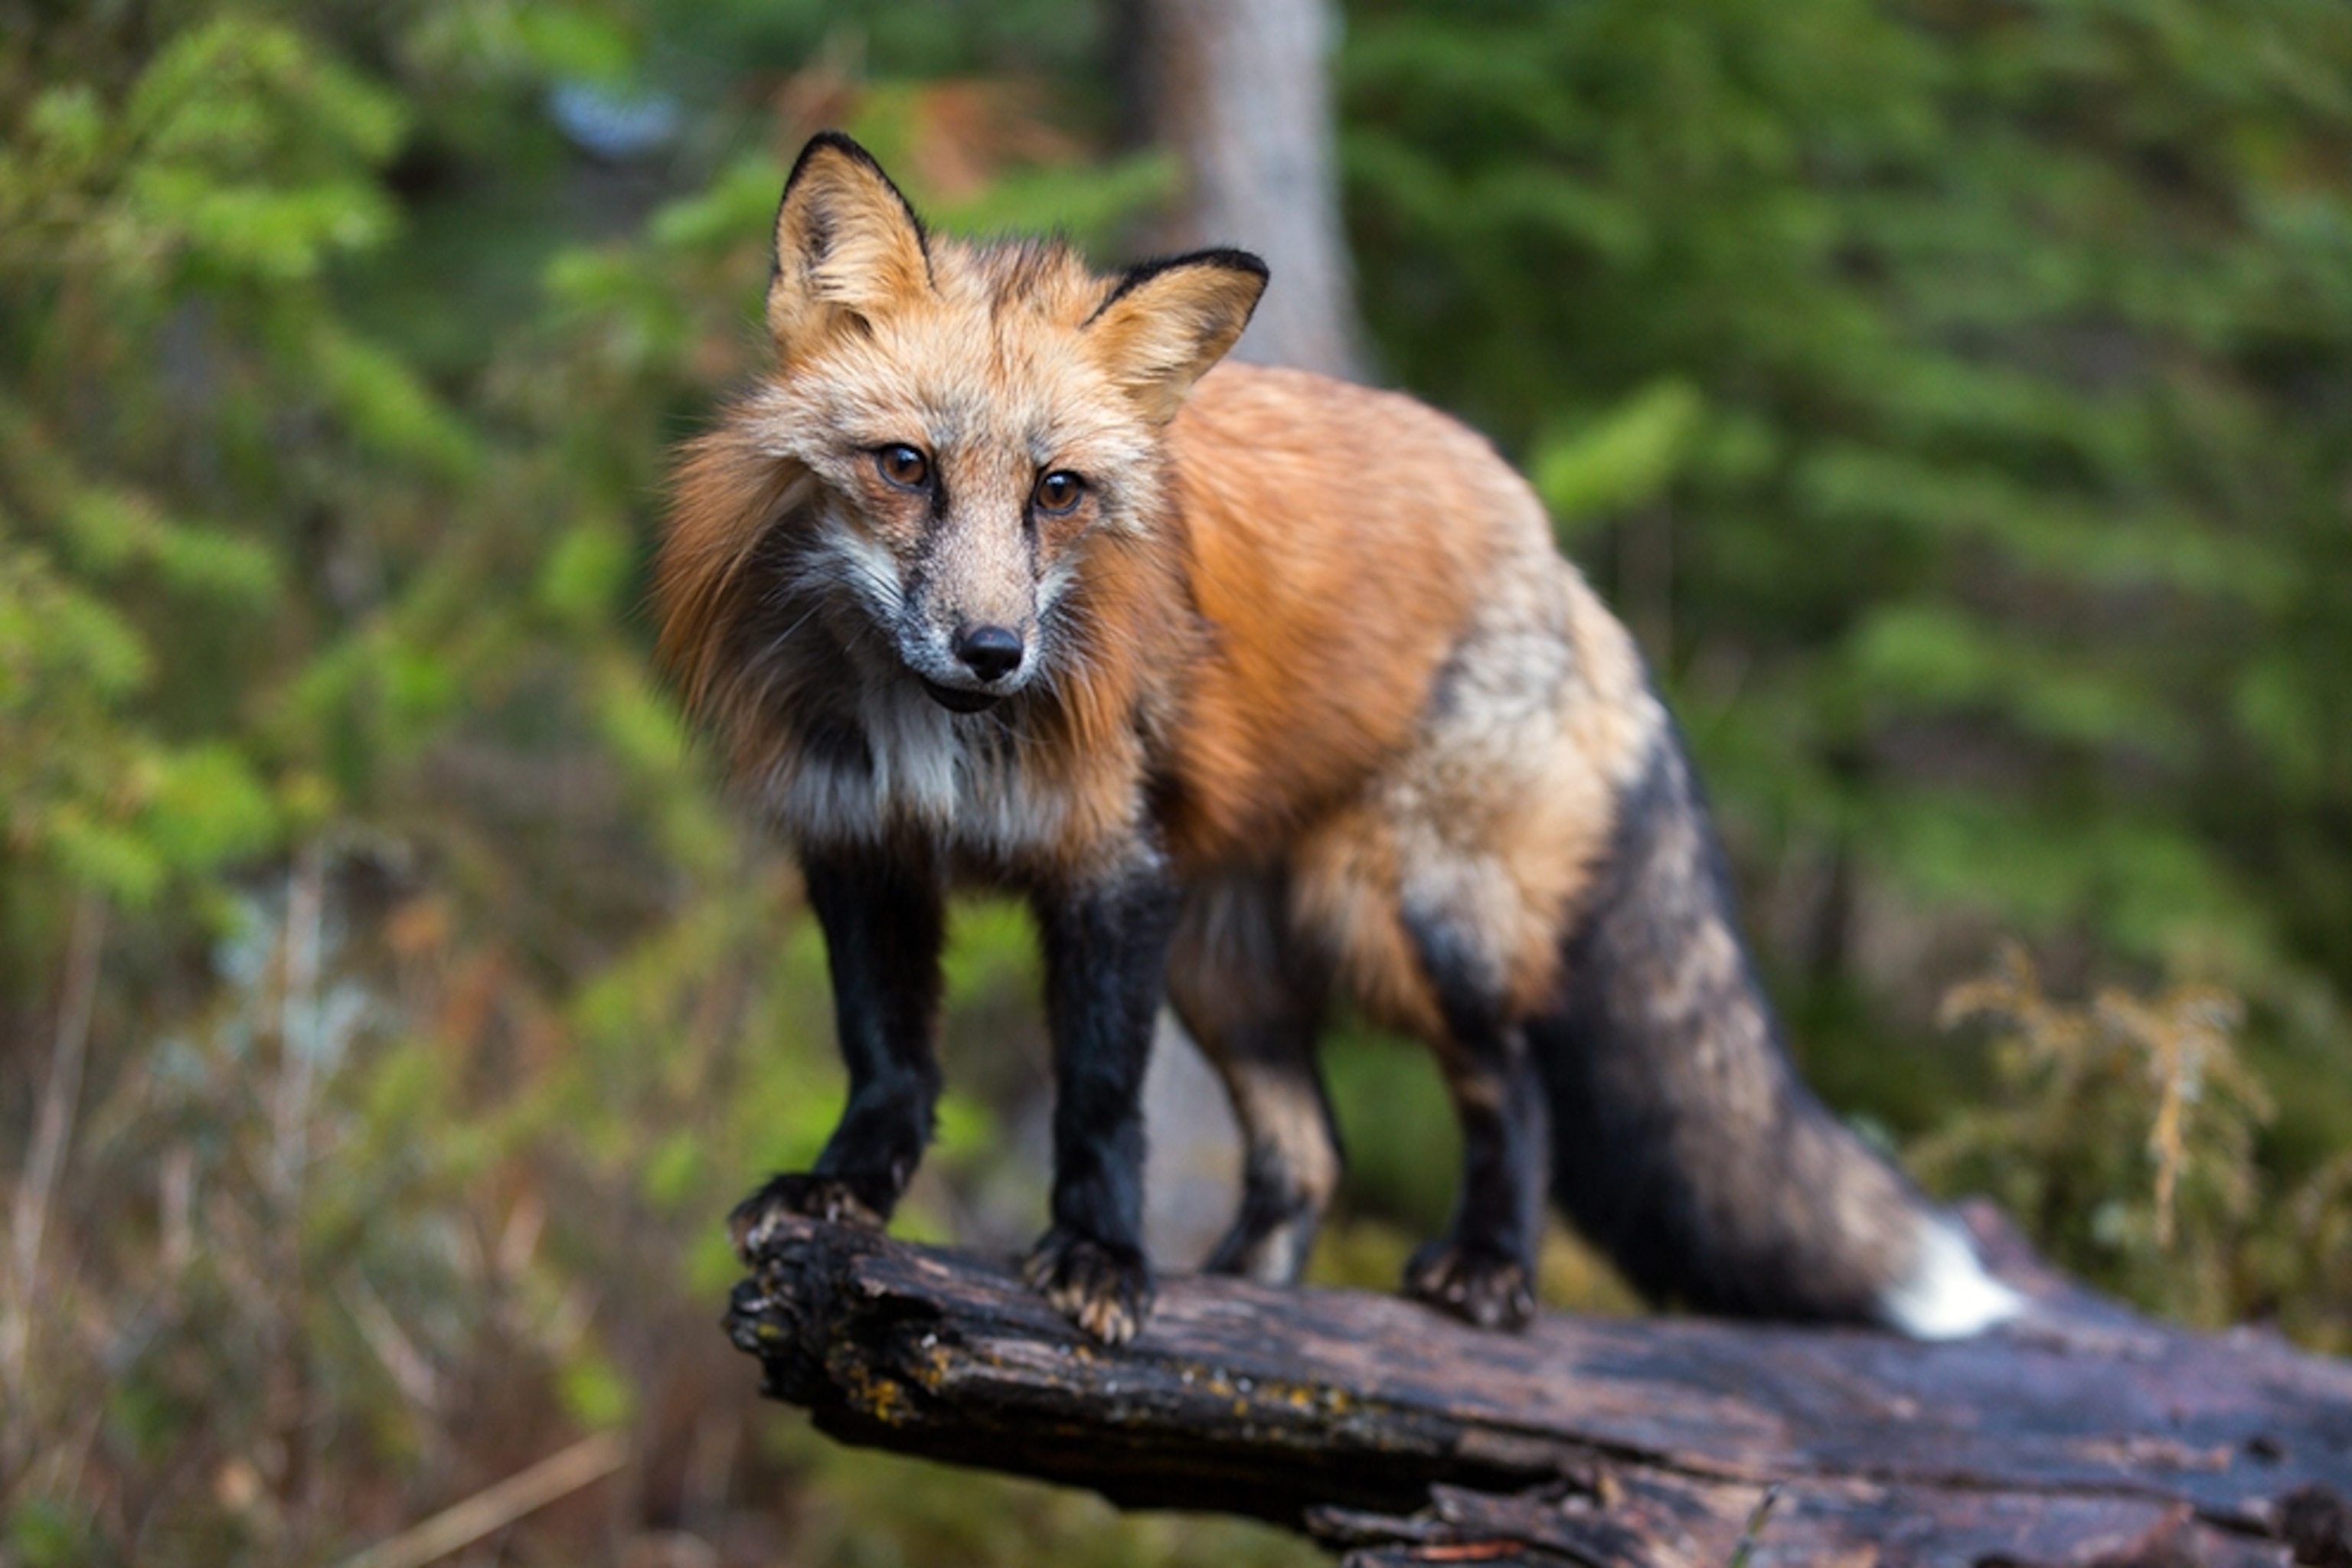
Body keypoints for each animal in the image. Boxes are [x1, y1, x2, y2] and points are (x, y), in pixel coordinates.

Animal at [657, 131, 2024, 1346]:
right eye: (905, 467)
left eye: (1058, 492)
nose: (995, 652)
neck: (930, 740)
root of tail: (1557, 559)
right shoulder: (860, 842)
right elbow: (887, 1059)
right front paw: (845, 1193)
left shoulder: (1111, 870)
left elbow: (1098, 1100)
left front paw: (1099, 1254)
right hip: (1226, 964)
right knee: (1312, 1152)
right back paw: (1252, 1301)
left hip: (1406, 915)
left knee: (1516, 1087)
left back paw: (1486, 1266)